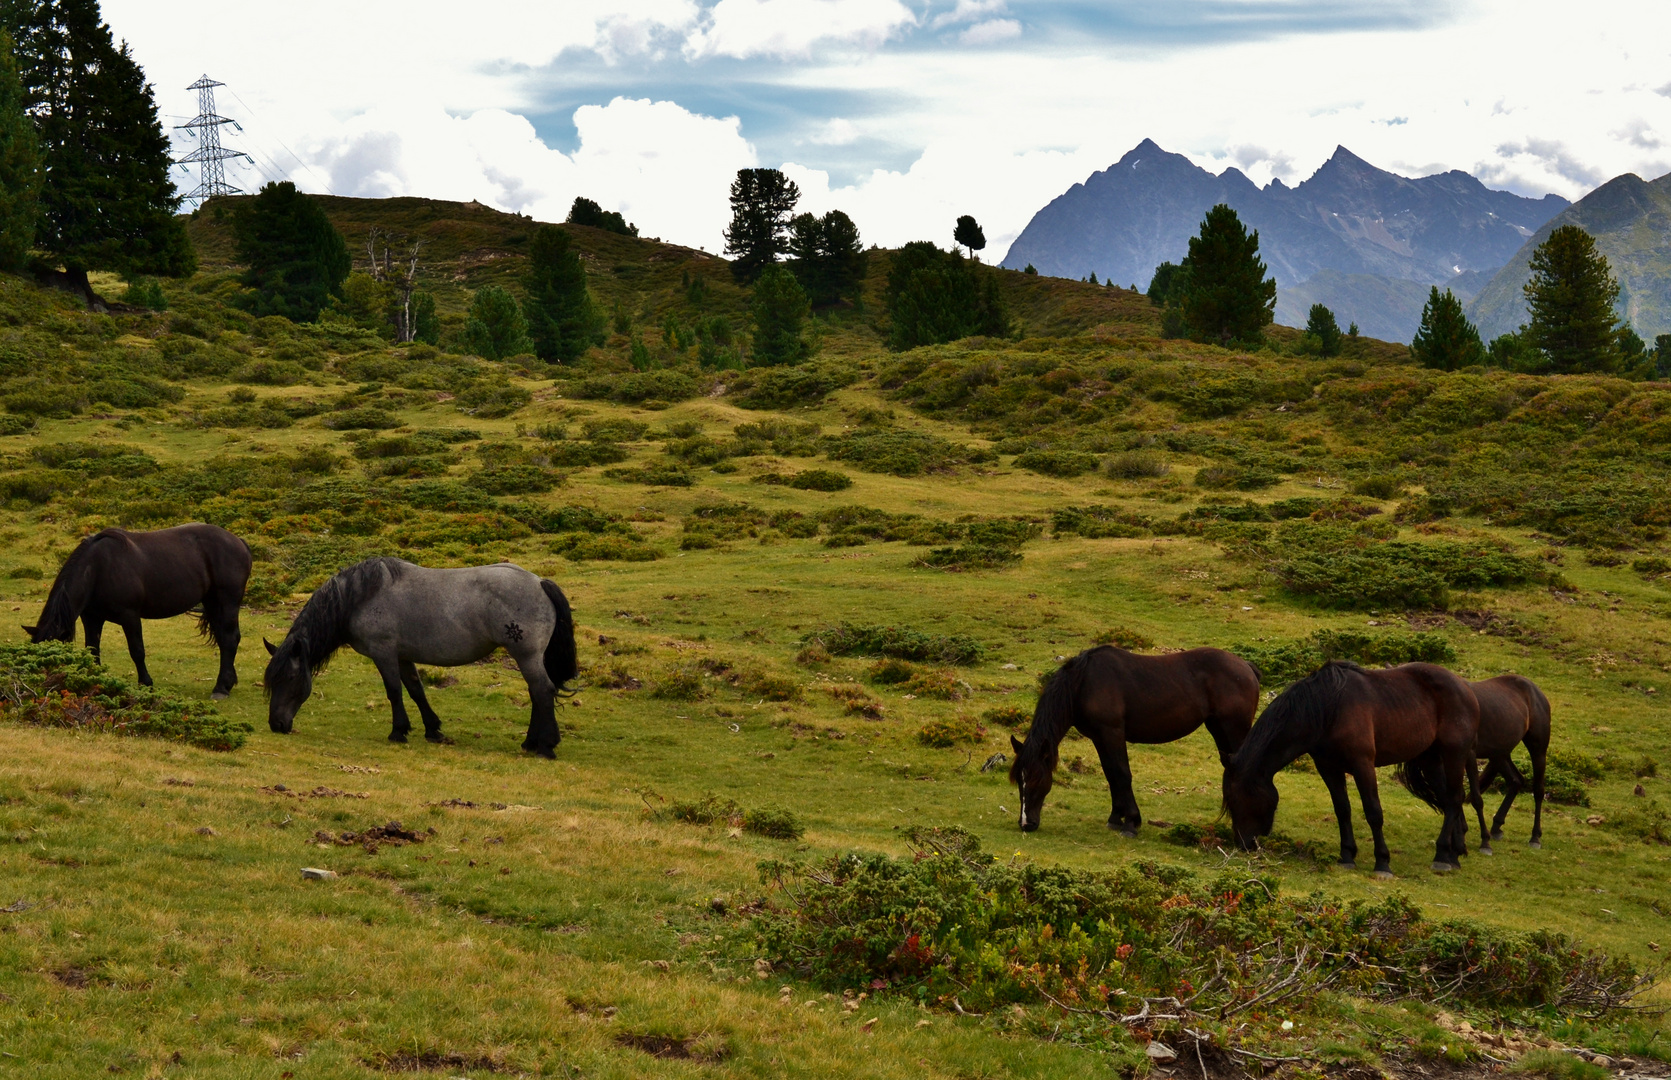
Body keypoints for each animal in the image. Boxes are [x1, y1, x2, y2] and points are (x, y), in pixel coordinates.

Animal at [24, 528, 250, 698]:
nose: (41, 687)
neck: (98, 568)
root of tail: (238, 541)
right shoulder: (91, 618)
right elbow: (92, 649)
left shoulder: (130, 616)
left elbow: (137, 650)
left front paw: (146, 683)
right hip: (212, 602)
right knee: (224, 639)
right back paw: (229, 682)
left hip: (228, 602)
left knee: (229, 639)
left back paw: (221, 688)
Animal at [259, 561, 574, 759]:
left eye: (289, 678)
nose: (276, 724)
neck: (360, 597)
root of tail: (539, 582)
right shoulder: (402, 656)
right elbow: (415, 689)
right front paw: (433, 729)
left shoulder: (384, 653)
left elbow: (394, 692)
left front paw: (398, 731)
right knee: (536, 693)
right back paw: (530, 742)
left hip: (526, 655)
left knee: (542, 691)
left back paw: (545, 746)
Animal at [1002, 652, 1256, 839]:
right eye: (1019, 781)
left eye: (1037, 780)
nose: (1026, 823)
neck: (1084, 683)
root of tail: (1247, 667)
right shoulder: (1099, 737)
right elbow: (1111, 775)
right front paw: (1115, 818)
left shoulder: (1112, 733)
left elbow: (1122, 774)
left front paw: (1131, 823)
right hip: (1220, 731)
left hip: (1234, 731)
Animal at [1223, 658, 1483, 882]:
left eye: (1239, 799)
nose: (1243, 844)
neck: (1329, 709)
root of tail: (1465, 687)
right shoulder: (1329, 768)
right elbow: (1342, 809)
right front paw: (1347, 856)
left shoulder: (1363, 764)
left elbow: (1373, 812)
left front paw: (1382, 863)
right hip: (1430, 760)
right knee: (1450, 799)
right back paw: (1454, 854)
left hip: (1454, 754)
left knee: (1453, 798)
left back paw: (1442, 855)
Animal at [1463, 675, 1550, 855]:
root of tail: (1536, 691)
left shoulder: (1468, 754)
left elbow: (1475, 798)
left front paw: (1484, 842)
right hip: (1499, 754)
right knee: (1516, 780)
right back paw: (1496, 826)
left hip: (1538, 750)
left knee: (1538, 791)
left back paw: (1535, 837)